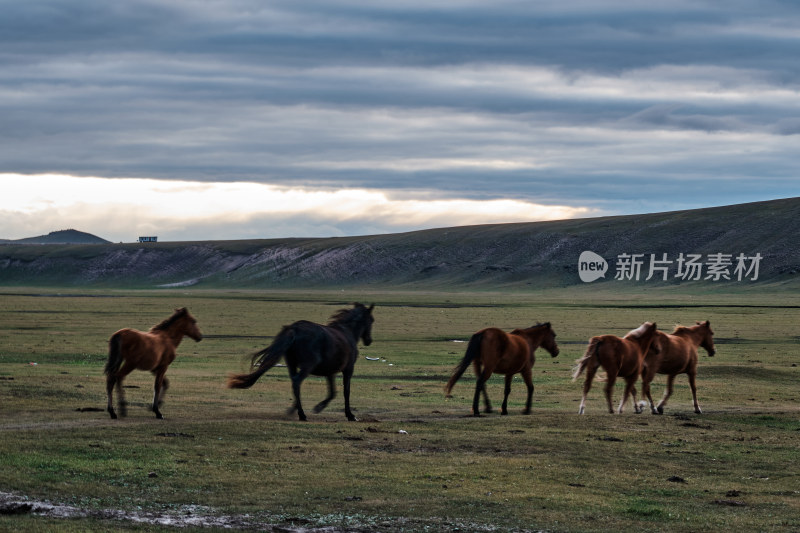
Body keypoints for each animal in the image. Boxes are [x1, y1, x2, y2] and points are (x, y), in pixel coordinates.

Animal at [225, 304, 376, 420]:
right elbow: (346, 391)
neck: (347, 332)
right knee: (297, 382)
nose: (369, 341)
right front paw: (350, 415)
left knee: (294, 383)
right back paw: (302, 415)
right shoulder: (348, 369)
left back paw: (296, 410)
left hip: (291, 364)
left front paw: (317, 407)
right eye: (372, 320)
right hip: (307, 365)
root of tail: (294, 329)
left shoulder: (330, 371)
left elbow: (332, 391)